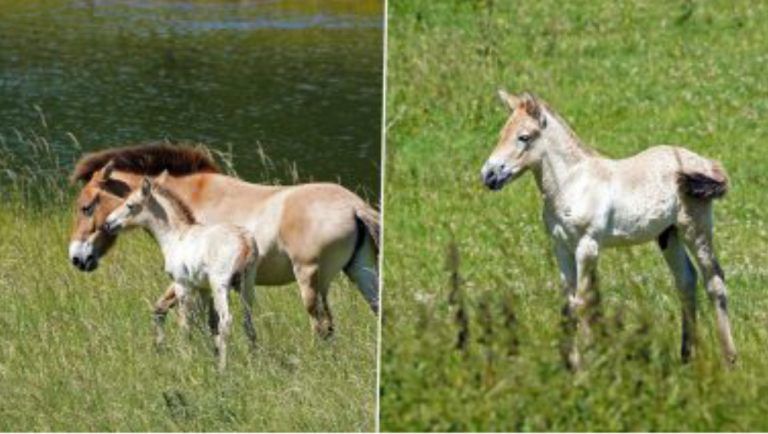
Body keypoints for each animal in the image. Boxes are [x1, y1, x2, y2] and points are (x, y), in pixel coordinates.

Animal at [67, 142, 380, 340]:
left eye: (86, 207)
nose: (77, 258)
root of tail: (355, 207)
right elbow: (176, 315)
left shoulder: (188, 279)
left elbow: (177, 316)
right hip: (361, 273)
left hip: (311, 279)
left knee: (322, 326)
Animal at [102, 173, 260, 370]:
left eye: (130, 205)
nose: (107, 224)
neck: (175, 236)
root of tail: (246, 242)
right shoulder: (203, 289)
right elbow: (206, 322)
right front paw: (208, 353)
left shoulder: (182, 285)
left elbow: (185, 322)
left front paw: (185, 357)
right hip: (247, 285)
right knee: (248, 321)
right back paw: (253, 361)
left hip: (221, 285)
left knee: (227, 320)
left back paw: (222, 368)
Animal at [480, 91, 736, 370]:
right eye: (501, 134)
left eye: (524, 137)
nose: (489, 175)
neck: (572, 183)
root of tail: (706, 163)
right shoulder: (561, 247)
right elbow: (569, 305)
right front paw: (571, 365)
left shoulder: (587, 246)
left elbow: (584, 302)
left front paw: (587, 364)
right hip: (669, 235)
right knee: (686, 281)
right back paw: (687, 356)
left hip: (695, 227)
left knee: (714, 280)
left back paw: (729, 359)